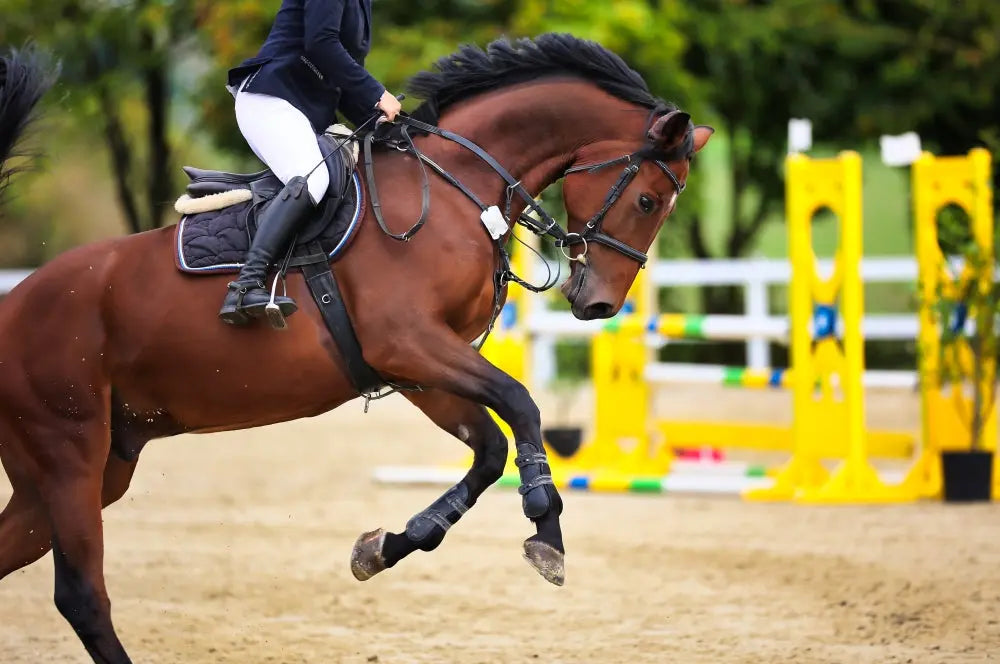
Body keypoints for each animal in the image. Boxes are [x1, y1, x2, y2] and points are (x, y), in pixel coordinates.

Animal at [0, 34, 712, 663]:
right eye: (647, 199)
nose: (599, 305)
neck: (456, 187)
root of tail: (13, 305)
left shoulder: (419, 367)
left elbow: (488, 449)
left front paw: (386, 546)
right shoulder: (410, 342)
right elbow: (522, 403)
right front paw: (546, 526)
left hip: (90, 468)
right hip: (69, 454)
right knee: (82, 595)